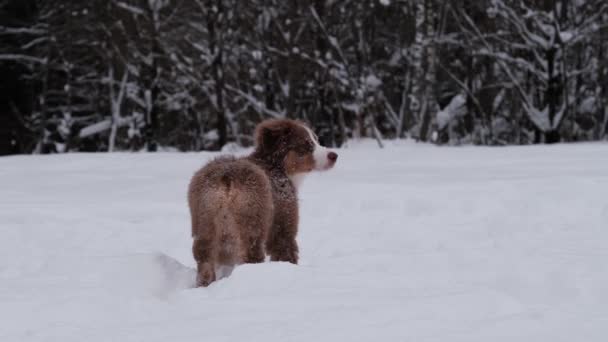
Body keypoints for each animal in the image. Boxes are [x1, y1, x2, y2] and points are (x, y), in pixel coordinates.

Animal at [188, 119, 338, 288]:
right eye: (306, 144)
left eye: (316, 140)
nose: (334, 155)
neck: (279, 167)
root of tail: (227, 176)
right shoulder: (283, 217)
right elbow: (285, 248)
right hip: (252, 219)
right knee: (250, 253)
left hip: (204, 218)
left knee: (204, 257)